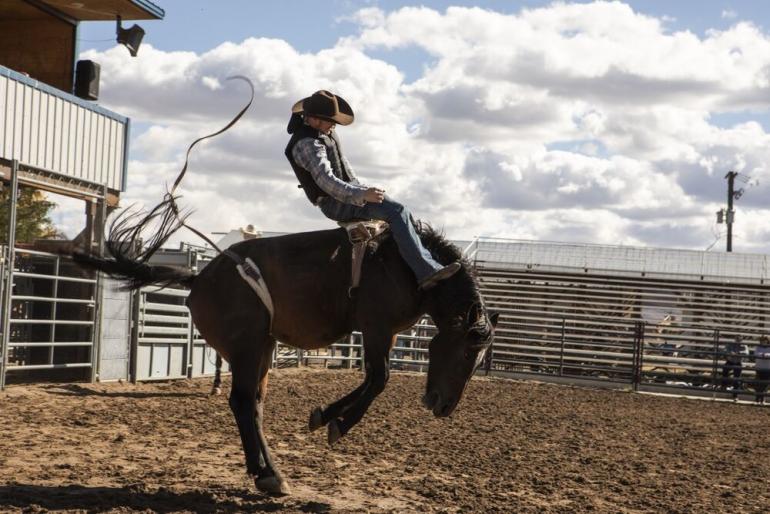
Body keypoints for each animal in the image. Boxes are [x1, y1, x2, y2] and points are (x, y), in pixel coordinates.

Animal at [73, 210, 498, 494]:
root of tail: (199, 277)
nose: (444, 407)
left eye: (480, 359)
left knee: (253, 404)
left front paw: (323, 416)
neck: (409, 267)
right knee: (244, 401)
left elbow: (372, 380)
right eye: (466, 354)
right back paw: (269, 475)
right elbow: (379, 378)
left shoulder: (387, 333)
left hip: (263, 346)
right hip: (246, 346)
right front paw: (335, 423)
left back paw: (264, 470)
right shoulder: (376, 327)